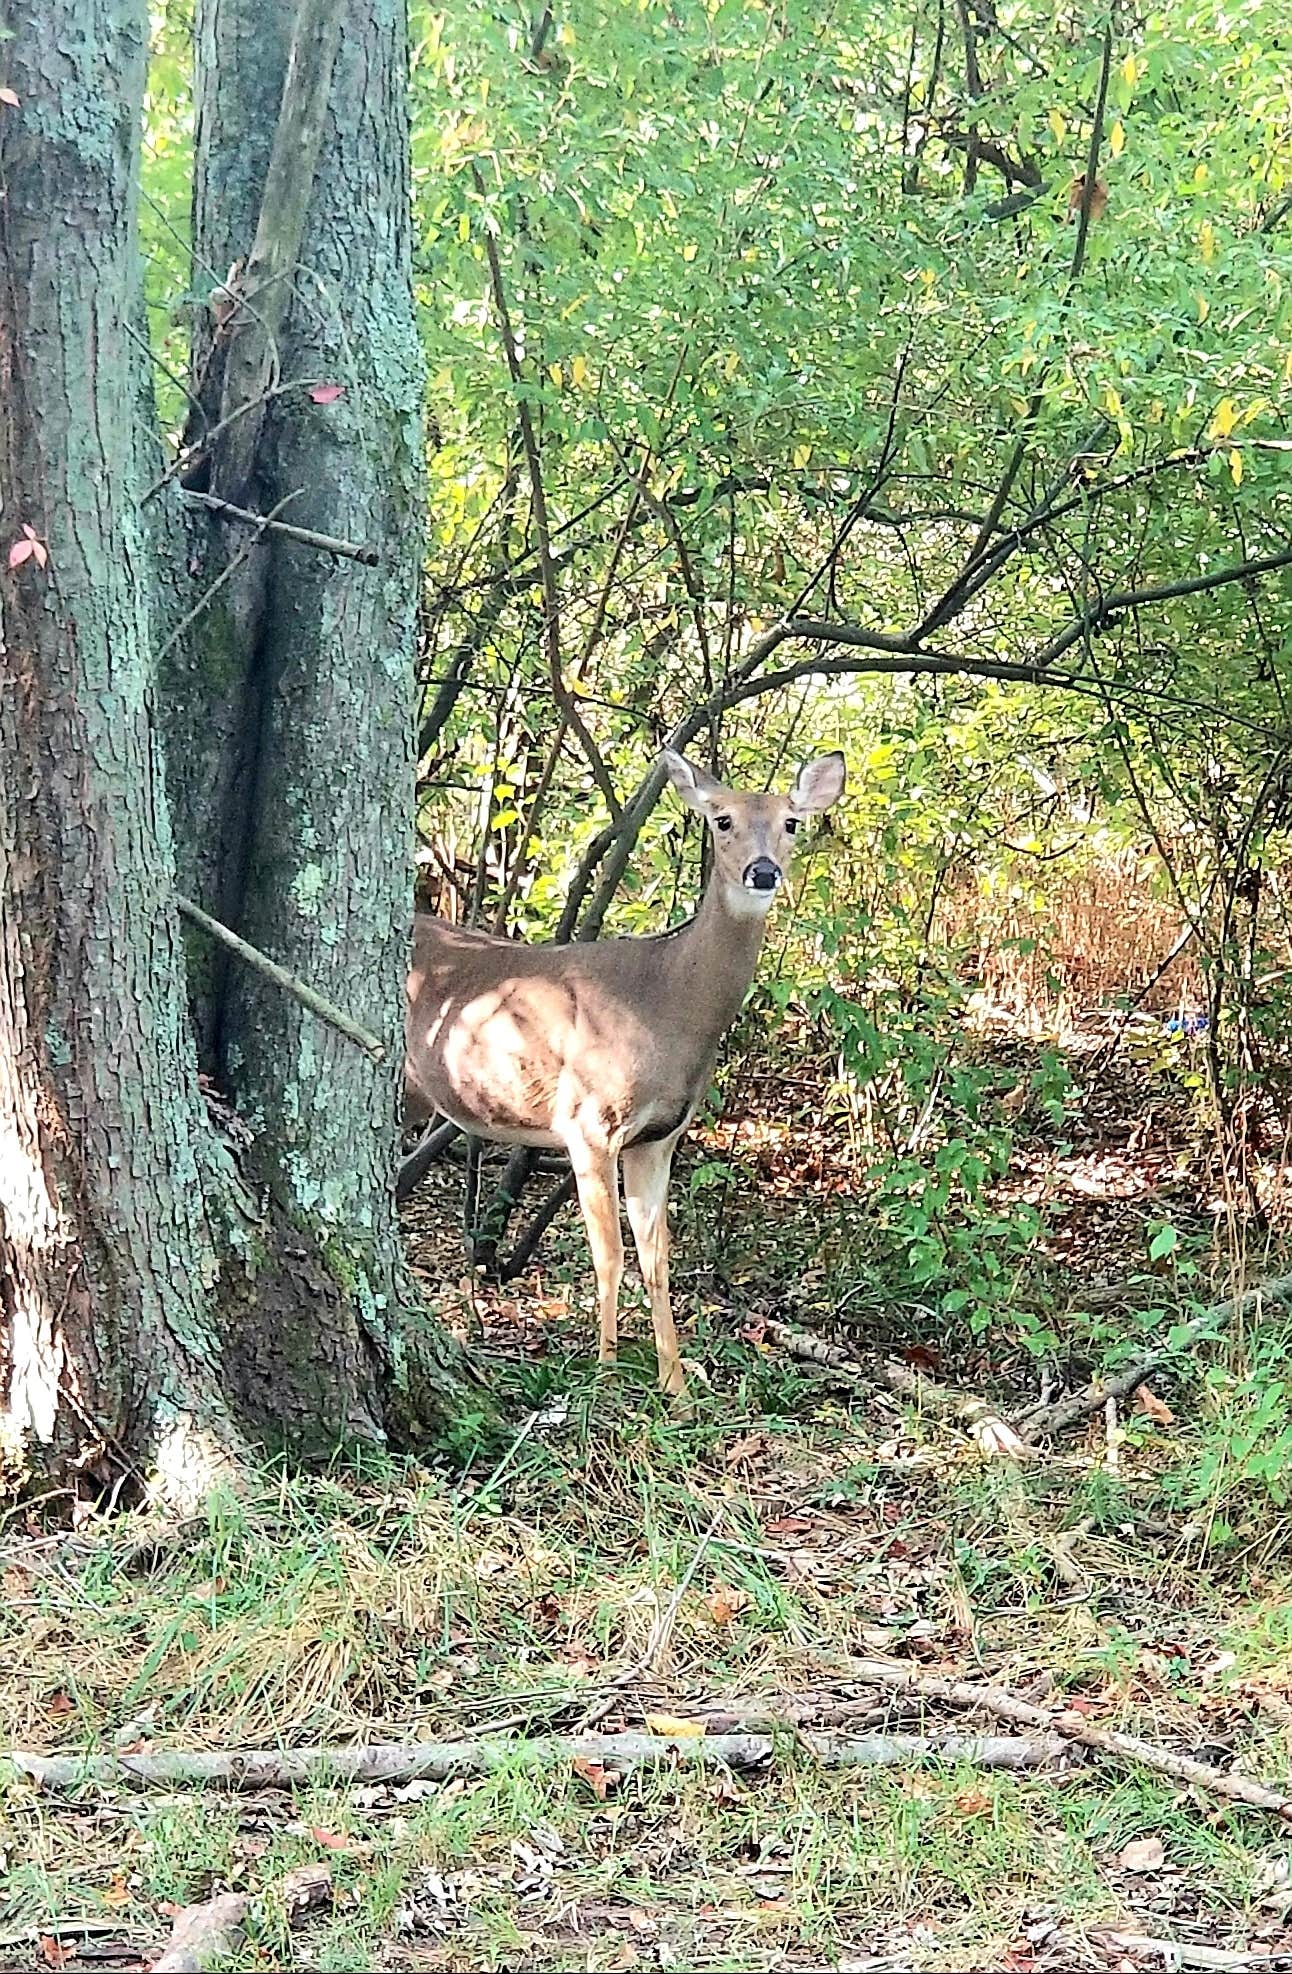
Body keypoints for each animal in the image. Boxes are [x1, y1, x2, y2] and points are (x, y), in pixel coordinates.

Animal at [404, 742, 848, 1405]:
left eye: (791, 822)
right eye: (721, 820)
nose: (763, 871)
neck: (664, 1006)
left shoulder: (658, 1137)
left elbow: (657, 1256)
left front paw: (677, 1385)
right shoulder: (588, 1121)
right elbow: (608, 1253)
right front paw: (607, 1374)